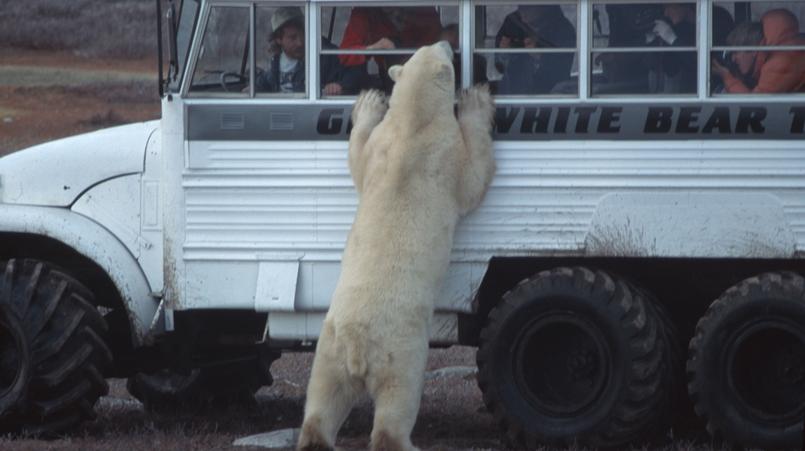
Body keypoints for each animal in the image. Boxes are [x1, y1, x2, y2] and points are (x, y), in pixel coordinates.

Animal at [296, 40, 496, 450]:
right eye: (441, 50)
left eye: (425, 45)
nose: (449, 42)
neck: (413, 123)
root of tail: (358, 347)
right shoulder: (445, 154)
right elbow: (474, 178)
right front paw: (476, 100)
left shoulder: (382, 147)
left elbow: (358, 157)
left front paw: (368, 102)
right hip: (399, 352)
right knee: (397, 400)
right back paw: (403, 440)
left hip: (330, 348)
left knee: (323, 394)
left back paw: (315, 436)